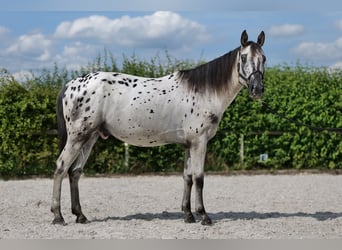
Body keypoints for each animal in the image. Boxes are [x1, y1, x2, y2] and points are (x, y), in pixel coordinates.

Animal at [50, 30, 266, 226]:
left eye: (263, 58)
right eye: (244, 57)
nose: (257, 89)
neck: (203, 92)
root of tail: (70, 84)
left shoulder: (189, 144)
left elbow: (187, 177)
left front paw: (188, 215)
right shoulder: (199, 142)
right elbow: (199, 178)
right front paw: (204, 216)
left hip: (90, 137)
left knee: (75, 172)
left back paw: (80, 216)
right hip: (77, 137)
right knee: (61, 167)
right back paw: (58, 216)